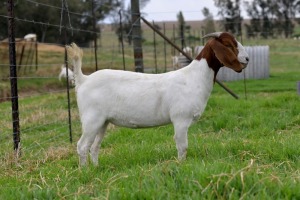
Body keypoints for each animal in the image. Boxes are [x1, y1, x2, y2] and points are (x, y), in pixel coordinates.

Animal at [66, 31, 248, 166]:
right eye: (228, 44)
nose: (247, 59)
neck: (194, 77)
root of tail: (83, 79)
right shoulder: (181, 119)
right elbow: (182, 146)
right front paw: (181, 165)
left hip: (103, 122)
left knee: (94, 147)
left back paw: (96, 168)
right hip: (91, 118)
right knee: (82, 146)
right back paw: (85, 171)